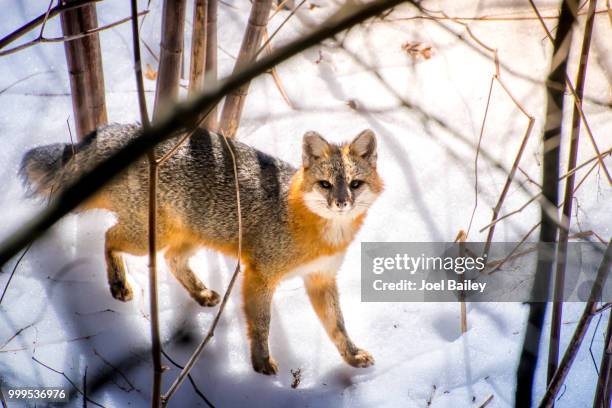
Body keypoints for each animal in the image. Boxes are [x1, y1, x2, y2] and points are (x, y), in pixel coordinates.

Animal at [21, 123, 384, 372]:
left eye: (354, 184)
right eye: (325, 184)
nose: (341, 203)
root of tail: (132, 133)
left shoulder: (320, 279)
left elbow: (337, 327)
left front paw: (351, 355)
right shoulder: (260, 275)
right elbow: (261, 324)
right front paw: (261, 362)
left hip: (187, 238)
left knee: (171, 260)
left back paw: (199, 292)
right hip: (148, 237)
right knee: (109, 237)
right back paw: (118, 284)